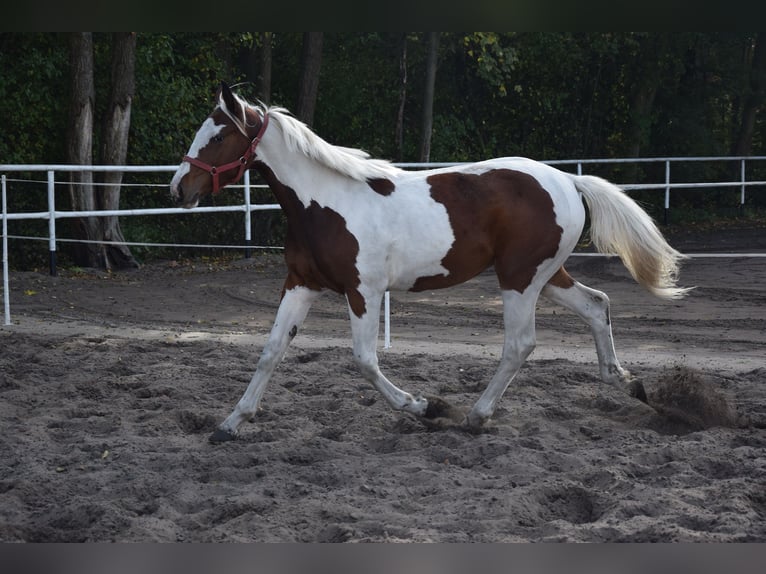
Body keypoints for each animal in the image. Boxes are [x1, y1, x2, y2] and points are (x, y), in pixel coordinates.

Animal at [170, 82, 689, 443]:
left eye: (219, 135)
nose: (178, 188)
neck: (325, 203)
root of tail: (566, 179)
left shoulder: (364, 291)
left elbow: (364, 360)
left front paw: (425, 407)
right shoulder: (301, 284)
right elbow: (270, 351)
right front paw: (229, 424)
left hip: (519, 279)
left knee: (520, 344)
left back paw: (475, 415)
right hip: (546, 275)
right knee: (597, 304)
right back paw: (624, 382)